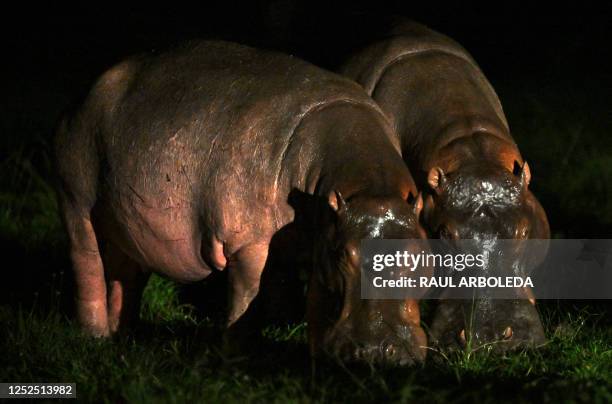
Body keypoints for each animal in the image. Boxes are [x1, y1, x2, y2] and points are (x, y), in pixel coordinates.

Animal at [56, 40, 430, 362]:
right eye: (342, 255)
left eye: (422, 255)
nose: (380, 351)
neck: (367, 189)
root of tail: (98, 81)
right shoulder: (250, 245)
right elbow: (248, 300)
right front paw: (240, 360)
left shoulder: (318, 241)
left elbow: (313, 303)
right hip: (75, 198)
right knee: (86, 265)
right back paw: (94, 338)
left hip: (129, 224)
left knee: (126, 274)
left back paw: (124, 337)